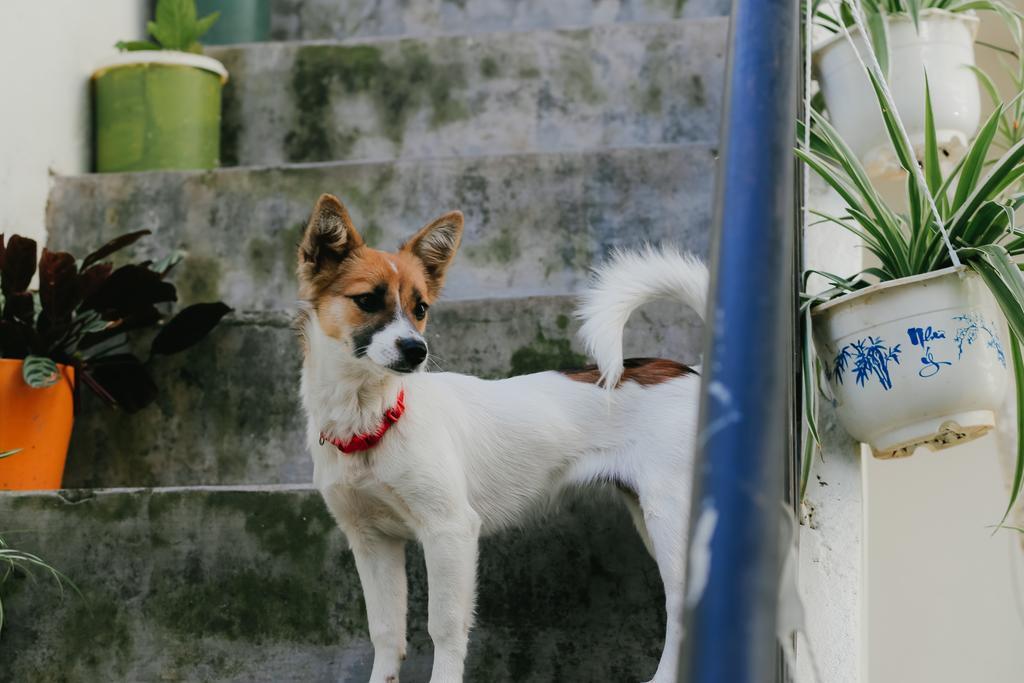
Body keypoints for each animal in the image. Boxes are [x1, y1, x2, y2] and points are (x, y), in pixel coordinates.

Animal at [299, 193, 704, 683]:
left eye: (421, 308)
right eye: (366, 300)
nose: (417, 351)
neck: (372, 416)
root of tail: (696, 372)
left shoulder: (450, 531)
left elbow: (444, 629)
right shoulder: (372, 540)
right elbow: (386, 634)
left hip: (670, 515)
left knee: (684, 607)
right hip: (648, 514)